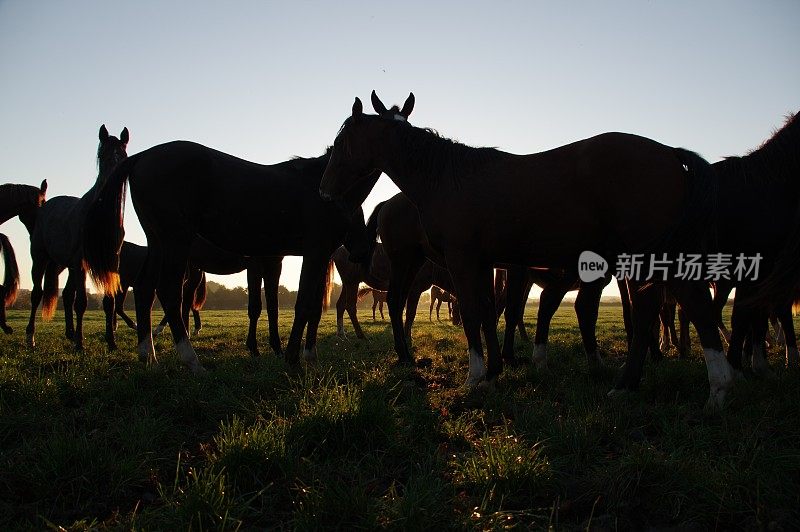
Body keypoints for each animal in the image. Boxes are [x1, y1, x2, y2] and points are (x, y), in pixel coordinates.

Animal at [25, 124, 126, 350]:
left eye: (123, 156)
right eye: (102, 155)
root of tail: (46, 206)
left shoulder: (111, 262)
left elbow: (109, 302)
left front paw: (111, 341)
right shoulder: (82, 262)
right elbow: (82, 303)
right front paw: (80, 344)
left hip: (66, 265)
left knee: (67, 294)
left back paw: (70, 333)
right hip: (41, 259)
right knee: (37, 295)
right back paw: (31, 337)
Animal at [83, 141, 378, 372]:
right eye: (357, 212)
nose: (362, 252)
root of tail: (142, 156)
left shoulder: (276, 260)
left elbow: (276, 304)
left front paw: (277, 349)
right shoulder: (286, 258)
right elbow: (273, 305)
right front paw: (274, 351)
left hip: (158, 243)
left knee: (146, 288)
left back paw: (148, 355)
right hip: (175, 242)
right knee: (168, 292)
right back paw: (191, 360)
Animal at [320, 91, 732, 412]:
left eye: (340, 144)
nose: (324, 189)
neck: (447, 177)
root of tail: (669, 153)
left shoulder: (464, 262)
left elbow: (474, 313)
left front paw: (476, 376)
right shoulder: (484, 264)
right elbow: (489, 312)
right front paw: (494, 371)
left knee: (686, 304)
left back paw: (717, 388)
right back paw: (628, 385)